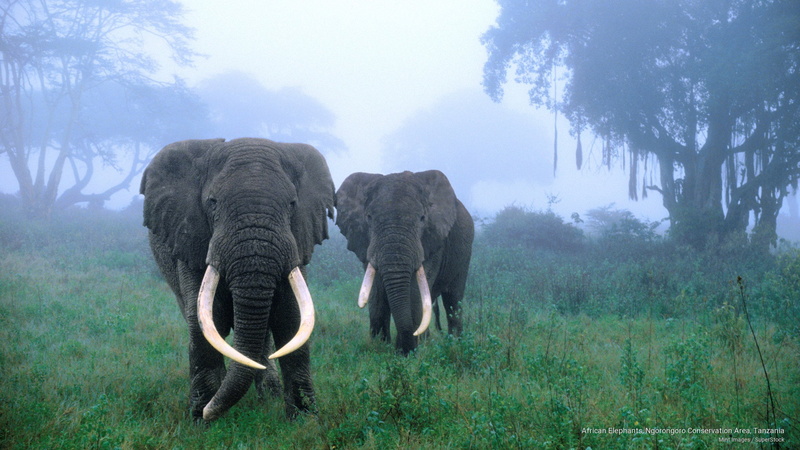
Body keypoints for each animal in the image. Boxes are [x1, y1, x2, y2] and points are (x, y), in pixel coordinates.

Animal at [139, 138, 335, 422]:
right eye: (212, 202)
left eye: (292, 204)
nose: (207, 412)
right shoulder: (192, 240)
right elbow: (205, 319)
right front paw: (201, 419)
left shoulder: (298, 242)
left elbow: (292, 319)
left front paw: (305, 420)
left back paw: (269, 395)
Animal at [335, 170, 474, 355]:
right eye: (369, 217)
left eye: (422, 218)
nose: (405, 349)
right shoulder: (366, 242)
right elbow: (377, 292)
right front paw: (380, 348)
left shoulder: (433, 240)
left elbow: (414, 291)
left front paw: (407, 354)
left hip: (464, 253)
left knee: (453, 299)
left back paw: (455, 344)